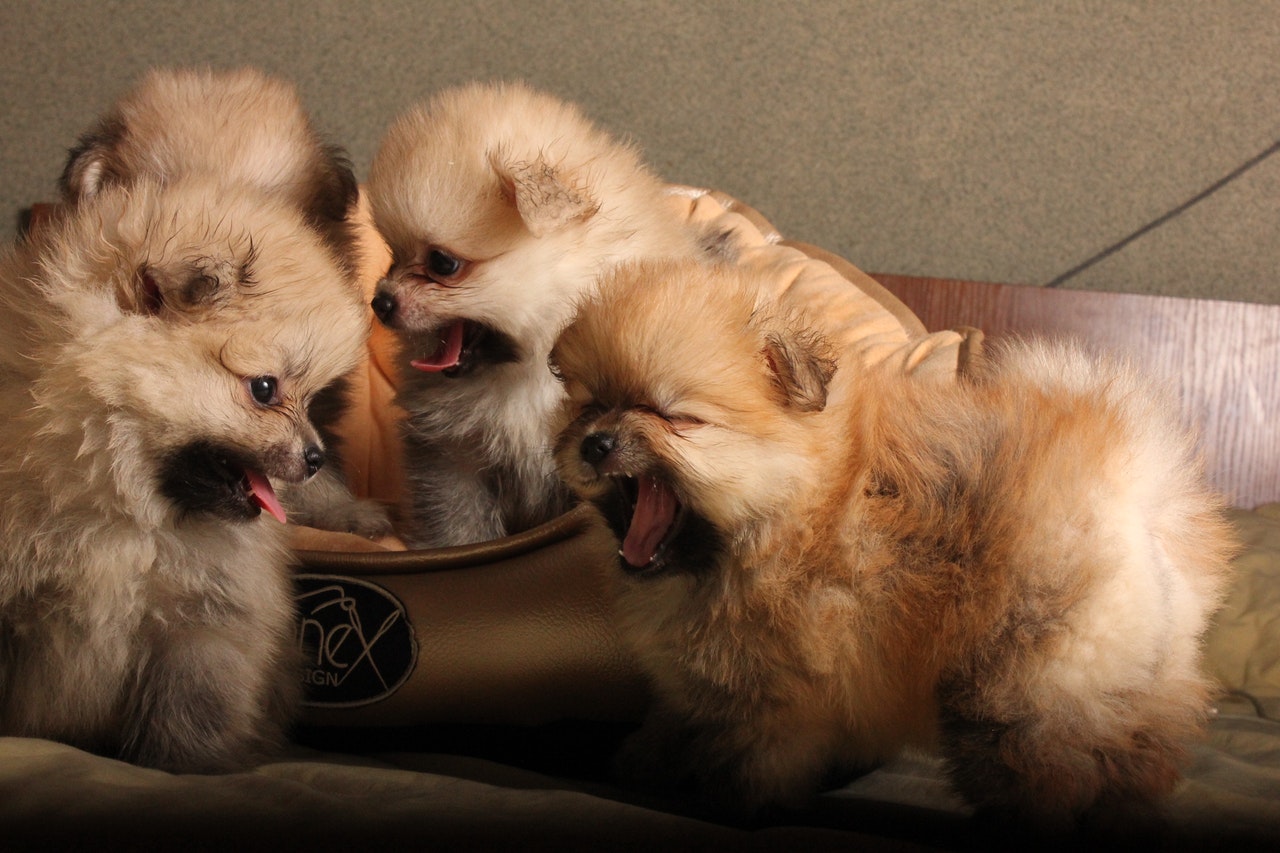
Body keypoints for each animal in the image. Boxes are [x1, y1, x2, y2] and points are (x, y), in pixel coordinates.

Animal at [0, 175, 371, 768]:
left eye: (313, 399)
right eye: (264, 389)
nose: (315, 457)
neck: (126, 512)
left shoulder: (203, 629)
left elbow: (192, 716)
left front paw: (195, 769)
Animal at [555, 261, 1233, 824]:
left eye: (676, 418)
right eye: (591, 407)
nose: (597, 443)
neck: (791, 504)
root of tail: (1133, 482)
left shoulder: (776, 689)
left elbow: (754, 755)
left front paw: (732, 803)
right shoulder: (696, 682)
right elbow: (675, 719)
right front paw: (646, 762)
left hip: (1023, 672)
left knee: (1045, 758)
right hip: (1139, 670)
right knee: (1138, 750)